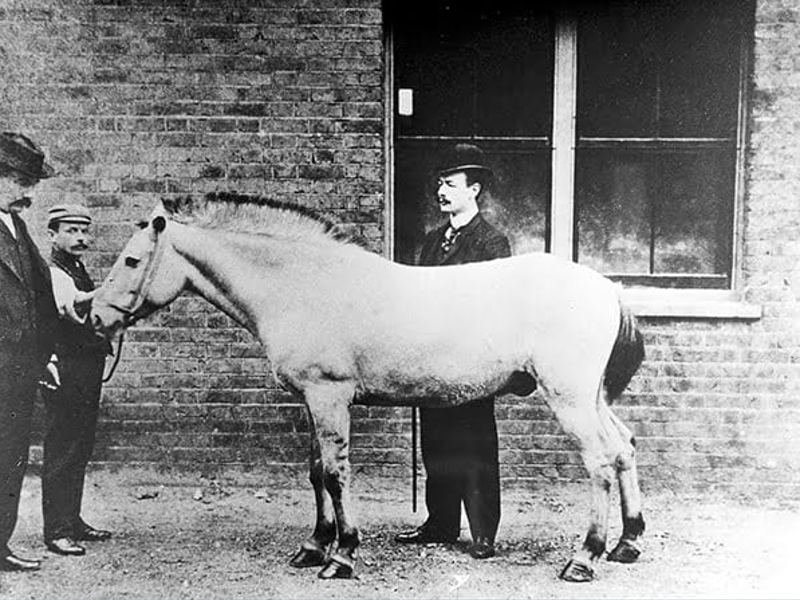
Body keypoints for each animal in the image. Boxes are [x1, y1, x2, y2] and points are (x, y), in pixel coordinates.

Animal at [90, 192, 646, 582]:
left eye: (133, 261)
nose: (93, 315)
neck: (304, 285)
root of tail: (606, 286)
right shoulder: (311, 401)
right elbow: (316, 472)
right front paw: (313, 546)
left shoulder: (329, 396)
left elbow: (336, 475)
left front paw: (342, 555)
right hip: (593, 398)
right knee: (623, 447)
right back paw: (628, 542)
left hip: (569, 399)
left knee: (599, 461)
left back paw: (585, 557)